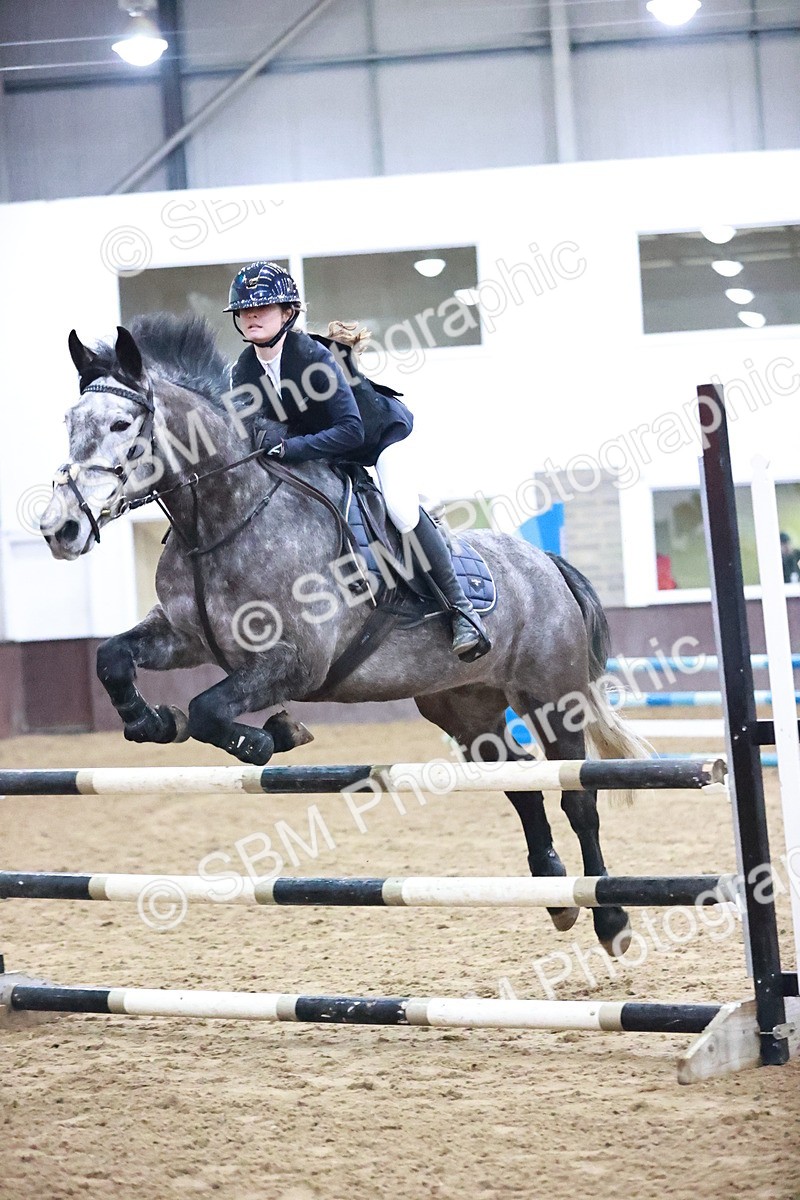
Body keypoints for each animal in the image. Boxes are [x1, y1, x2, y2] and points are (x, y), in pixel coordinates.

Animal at [41, 312, 649, 954]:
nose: (60, 529)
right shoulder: (185, 637)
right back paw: (556, 894)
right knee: (520, 781)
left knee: (578, 794)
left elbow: (209, 708)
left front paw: (267, 739)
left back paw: (611, 918)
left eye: (121, 424)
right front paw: (154, 721)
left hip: (553, 696)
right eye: (69, 424)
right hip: (463, 704)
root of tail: (546, 564)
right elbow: (113, 658)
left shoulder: (296, 662)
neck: (222, 515)